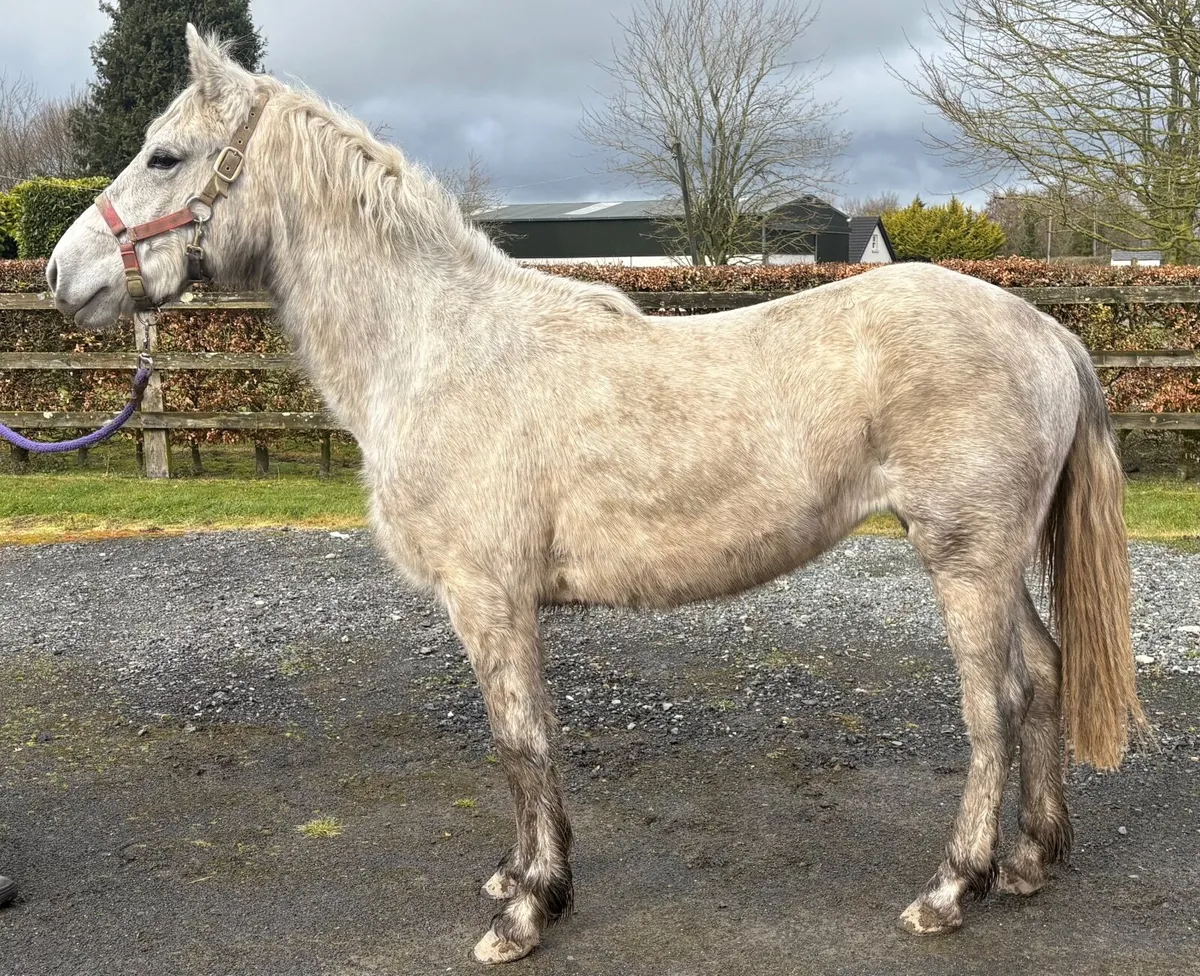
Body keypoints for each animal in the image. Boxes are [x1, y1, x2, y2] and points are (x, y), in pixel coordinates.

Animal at [45, 25, 1145, 965]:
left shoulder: (489, 598)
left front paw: (531, 909)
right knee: (1044, 675)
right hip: (996, 563)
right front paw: (517, 879)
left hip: (964, 560)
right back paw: (1031, 860)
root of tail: (1046, 330)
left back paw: (952, 888)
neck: (437, 347)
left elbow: (521, 741)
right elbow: (523, 744)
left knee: (993, 705)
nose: (60, 273)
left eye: (165, 157)